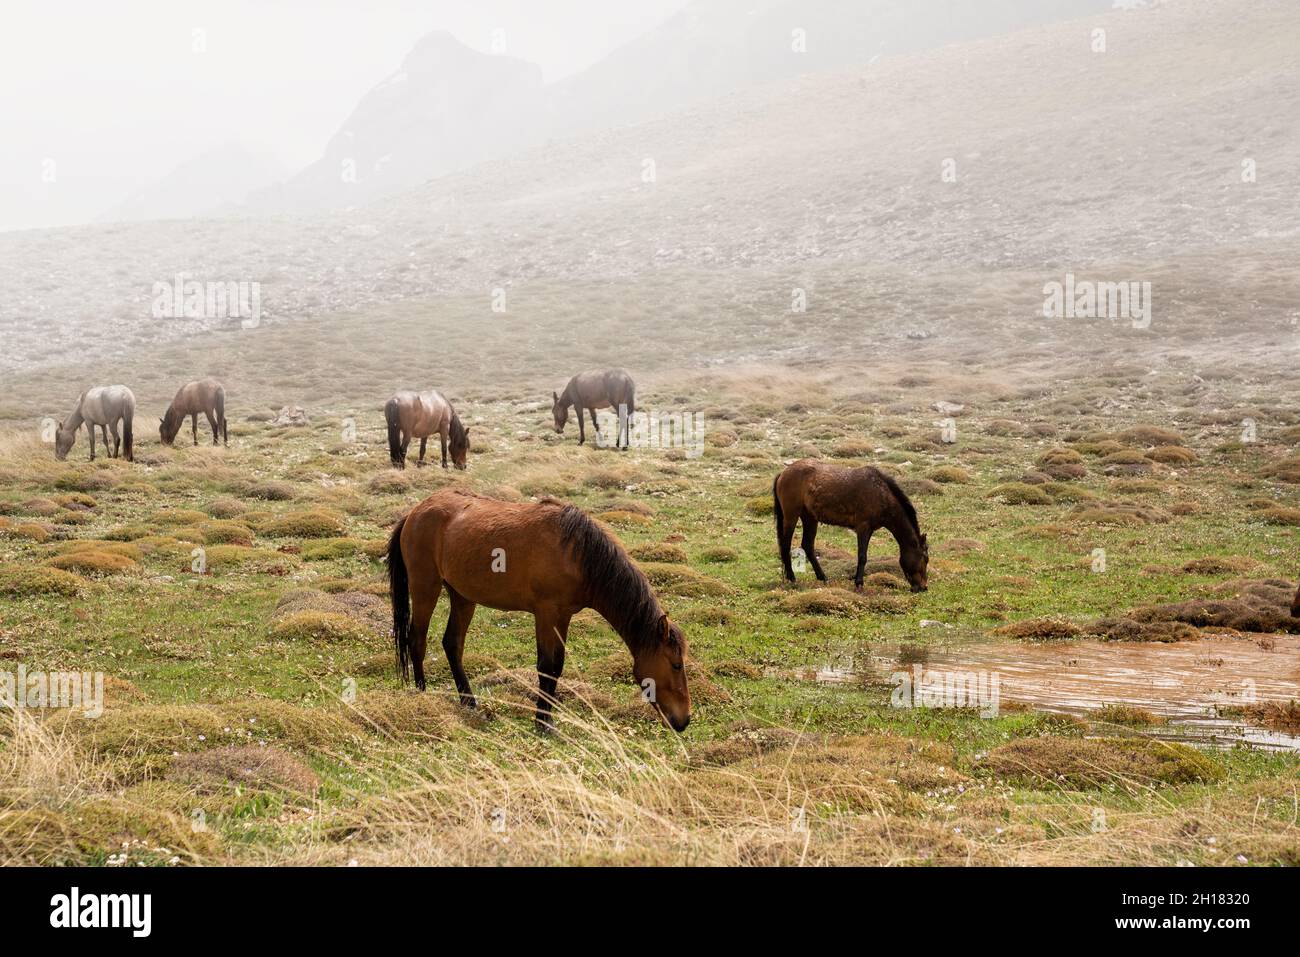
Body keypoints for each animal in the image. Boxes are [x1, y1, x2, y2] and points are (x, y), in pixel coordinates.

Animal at [384, 488, 691, 728]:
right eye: (676, 664)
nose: (684, 720)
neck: (577, 555)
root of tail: (414, 513)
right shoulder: (546, 614)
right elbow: (546, 666)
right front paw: (543, 721)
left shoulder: (563, 617)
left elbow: (556, 667)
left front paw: (547, 717)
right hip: (426, 587)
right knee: (417, 640)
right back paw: (423, 694)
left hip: (461, 596)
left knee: (452, 644)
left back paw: (469, 701)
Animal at [769, 462, 925, 590]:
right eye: (925, 558)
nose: (923, 587)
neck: (881, 493)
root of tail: (783, 473)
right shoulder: (863, 528)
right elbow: (862, 556)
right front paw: (859, 583)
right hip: (791, 516)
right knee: (786, 544)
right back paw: (792, 577)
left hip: (810, 518)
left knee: (807, 545)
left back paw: (823, 577)